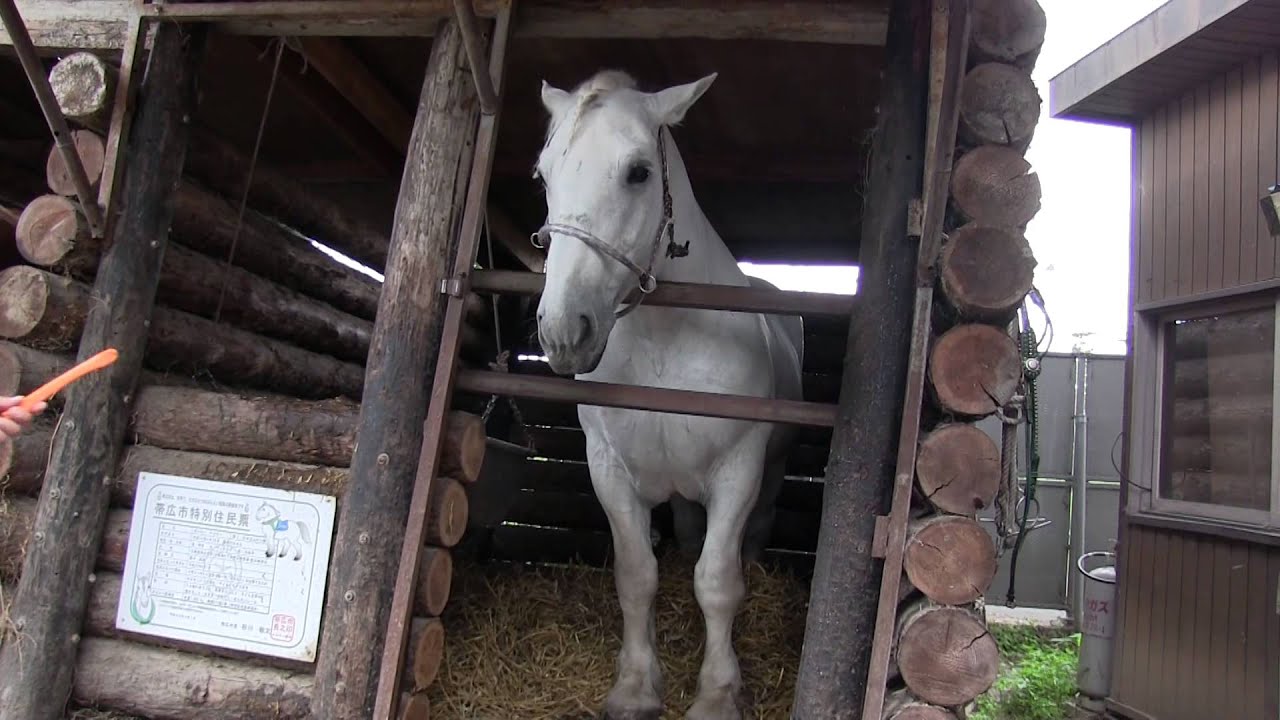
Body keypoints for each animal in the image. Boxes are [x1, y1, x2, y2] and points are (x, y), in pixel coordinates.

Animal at [531, 69, 804, 720]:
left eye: (638, 172)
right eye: (545, 174)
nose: (563, 332)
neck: (666, 339)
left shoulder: (737, 470)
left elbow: (718, 582)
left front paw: (718, 693)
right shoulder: (609, 470)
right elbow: (637, 577)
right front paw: (635, 687)